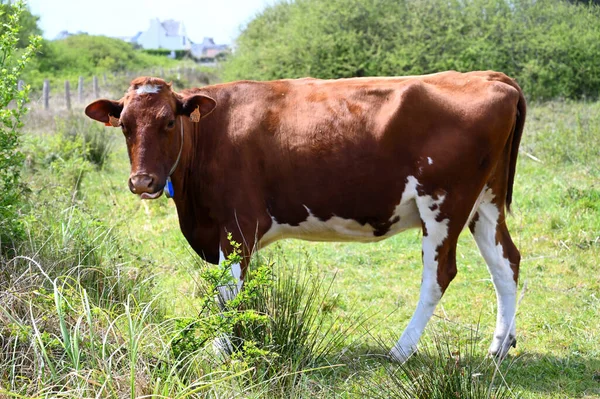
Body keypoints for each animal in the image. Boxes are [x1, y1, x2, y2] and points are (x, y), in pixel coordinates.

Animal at [84, 71, 524, 362]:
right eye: (125, 125)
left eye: (168, 121)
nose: (142, 181)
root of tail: (489, 76)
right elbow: (226, 293)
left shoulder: (236, 227)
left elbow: (229, 294)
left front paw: (223, 350)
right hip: (484, 201)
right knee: (507, 263)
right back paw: (499, 346)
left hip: (444, 203)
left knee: (440, 275)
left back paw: (401, 350)